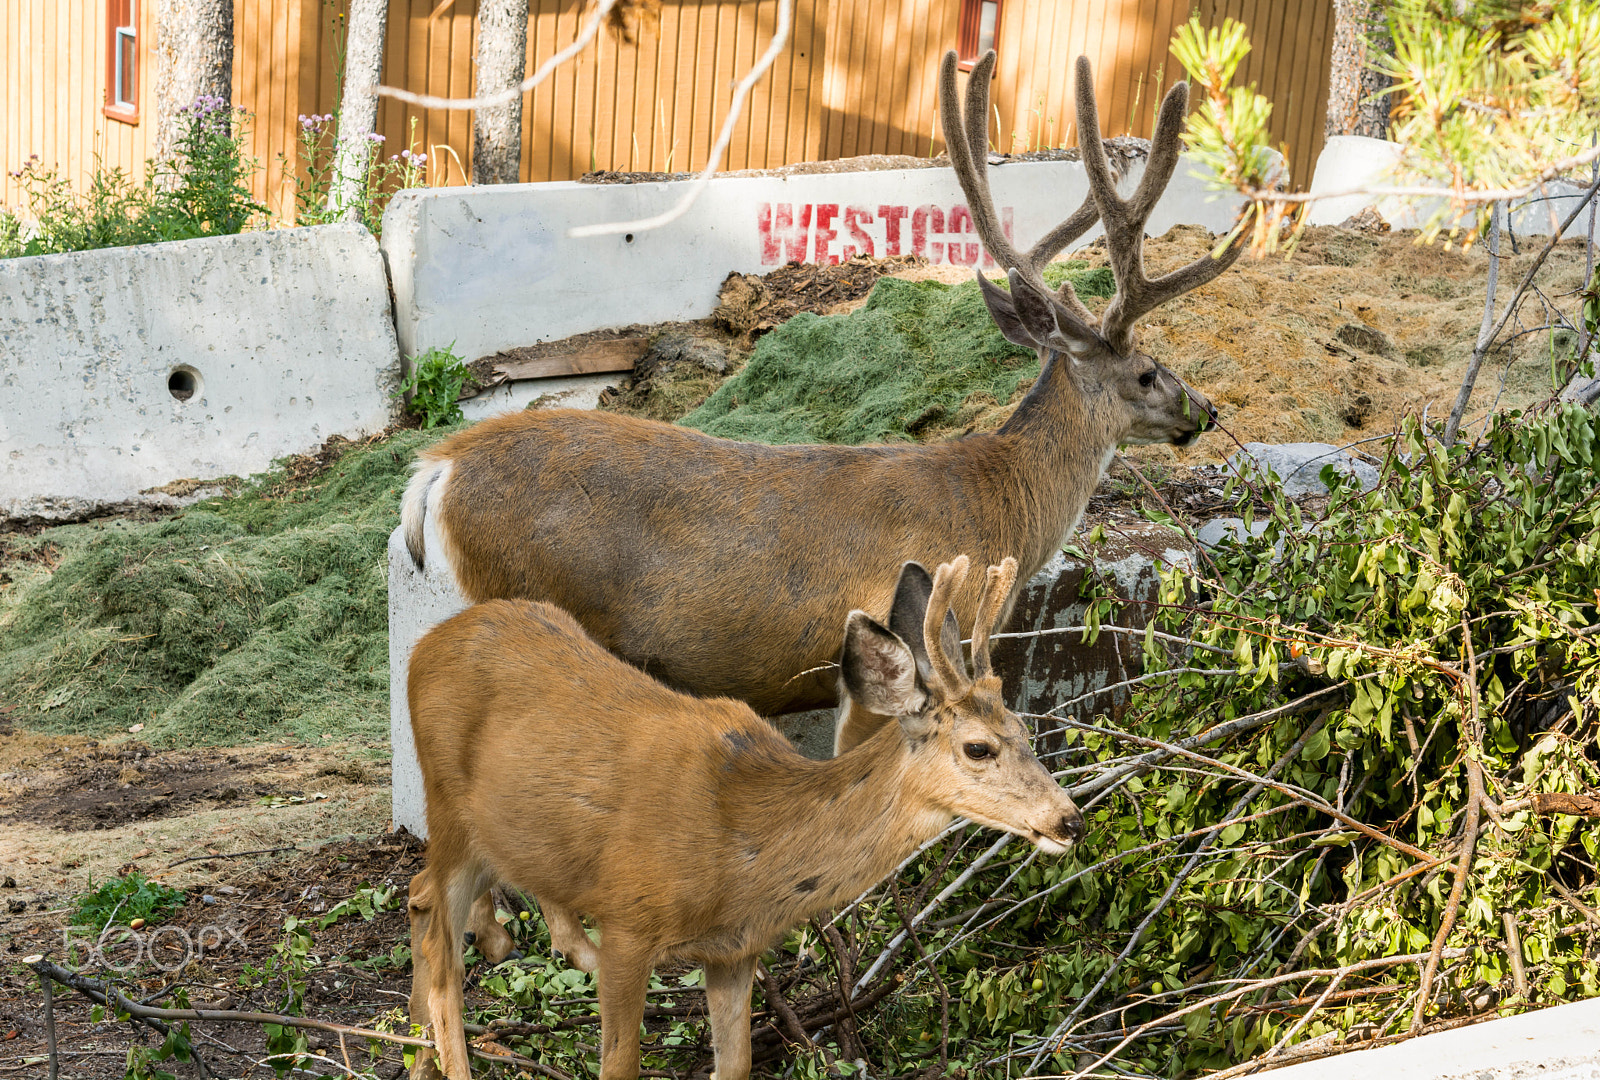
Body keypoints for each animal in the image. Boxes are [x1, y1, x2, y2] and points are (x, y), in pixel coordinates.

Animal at [405, 556, 1083, 1080]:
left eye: (1025, 730)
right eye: (978, 748)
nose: (1069, 820)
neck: (744, 847)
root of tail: (423, 645)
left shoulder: (735, 950)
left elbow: (734, 1064)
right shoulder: (628, 920)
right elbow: (619, 1064)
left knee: (423, 897)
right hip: (447, 805)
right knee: (444, 950)